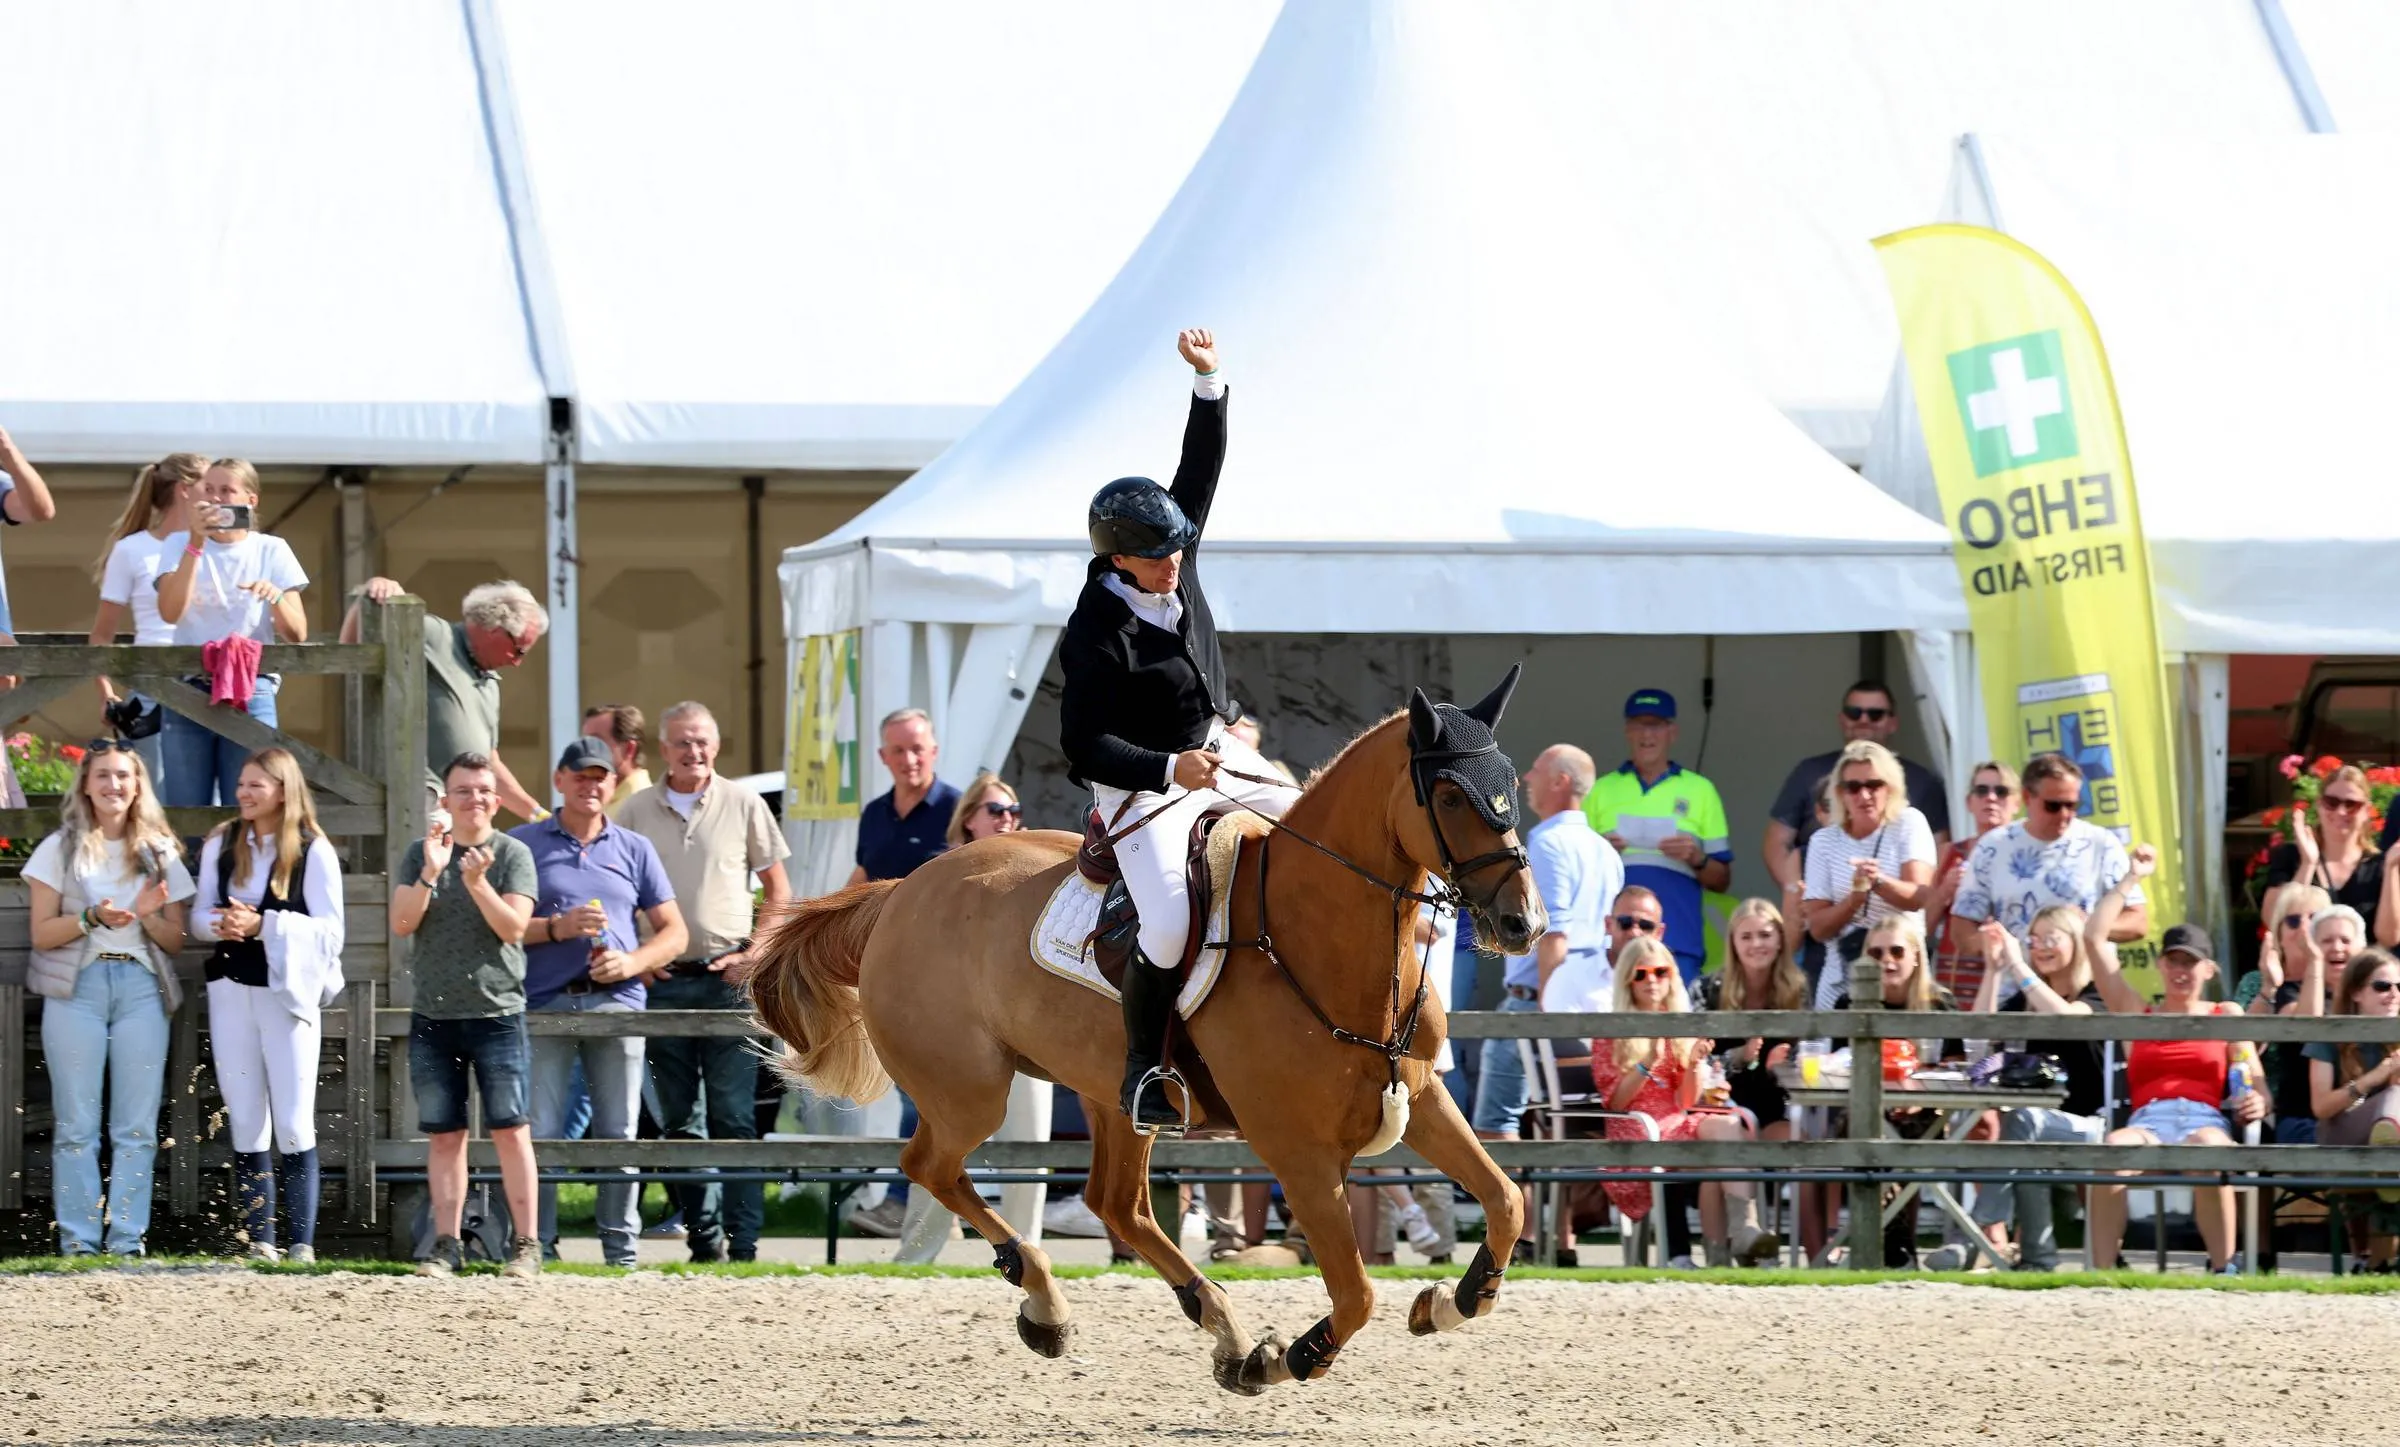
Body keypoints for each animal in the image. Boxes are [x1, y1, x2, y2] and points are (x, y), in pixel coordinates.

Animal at [739, 667, 1545, 1391]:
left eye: (1512, 782)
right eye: (1450, 794)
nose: (1523, 923)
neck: (1314, 934)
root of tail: (900, 890)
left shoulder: (1420, 1097)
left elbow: (1506, 1200)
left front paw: (1452, 1300)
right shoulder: (1298, 1150)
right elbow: (1356, 1292)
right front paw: (1287, 1358)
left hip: (1112, 1094)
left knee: (1114, 1205)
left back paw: (1216, 1323)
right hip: (969, 1092)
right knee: (931, 1166)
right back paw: (1049, 1303)